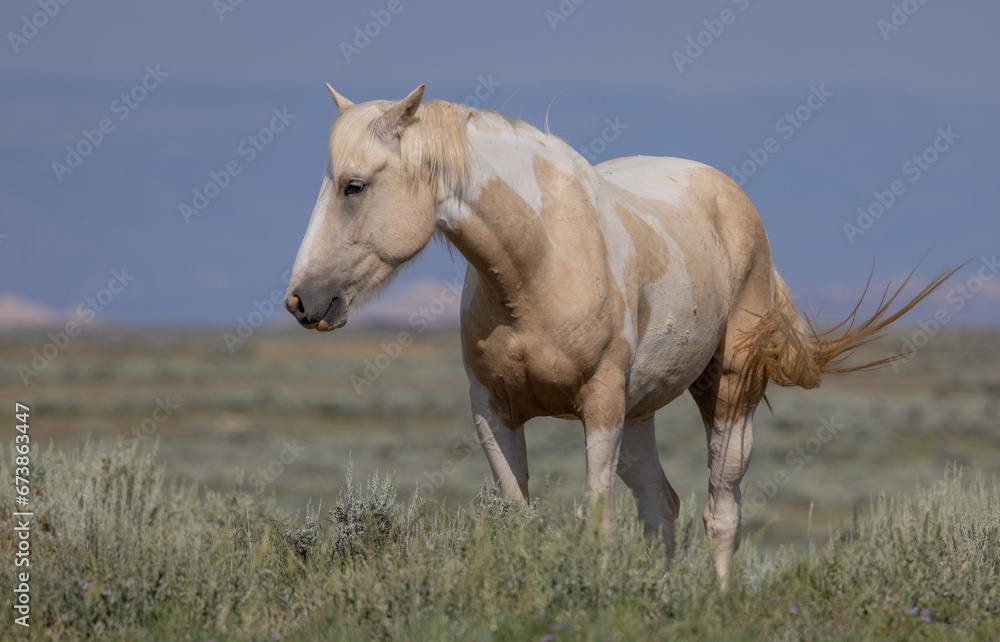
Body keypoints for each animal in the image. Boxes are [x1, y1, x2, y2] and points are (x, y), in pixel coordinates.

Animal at [283, 84, 954, 582]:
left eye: (354, 185)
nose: (301, 301)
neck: (538, 268)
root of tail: (731, 198)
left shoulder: (600, 408)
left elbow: (598, 521)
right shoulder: (493, 414)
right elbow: (522, 518)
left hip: (726, 395)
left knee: (721, 511)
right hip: (640, 415)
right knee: (662, 506)